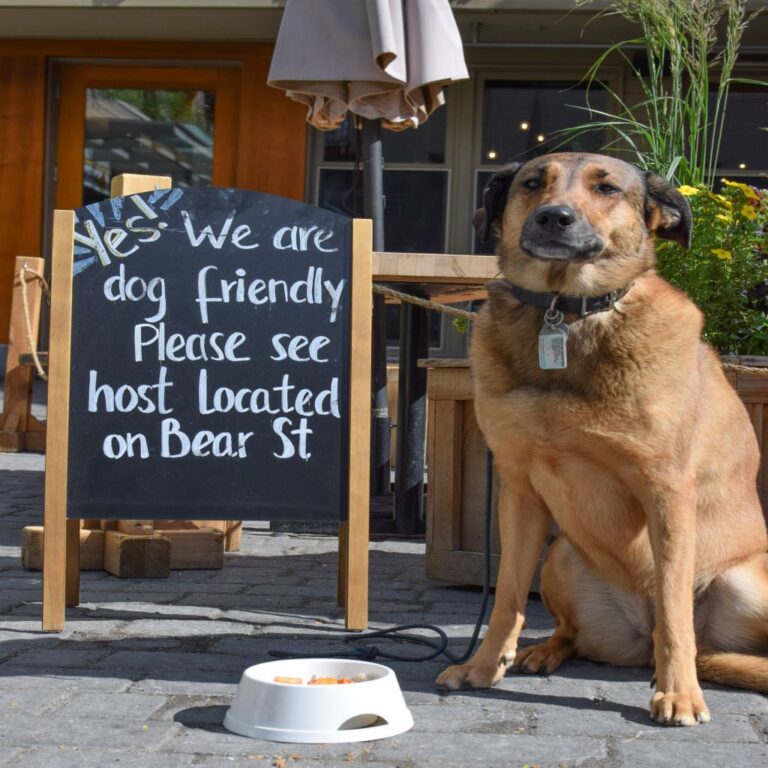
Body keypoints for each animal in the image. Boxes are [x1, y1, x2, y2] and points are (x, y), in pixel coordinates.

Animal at [436, 152, 768, 728]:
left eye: (607, 188)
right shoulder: (519, 491)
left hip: (745, 585)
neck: (566, 309)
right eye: (532, 183)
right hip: (561, 556)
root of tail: (638, 640)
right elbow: (506, 599)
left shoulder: (666, 492)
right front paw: (482, 665)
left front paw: (681, 694)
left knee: (679, 627)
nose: (553, 217)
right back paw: (544, 651)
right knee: (572, 632)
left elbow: (675, 610)